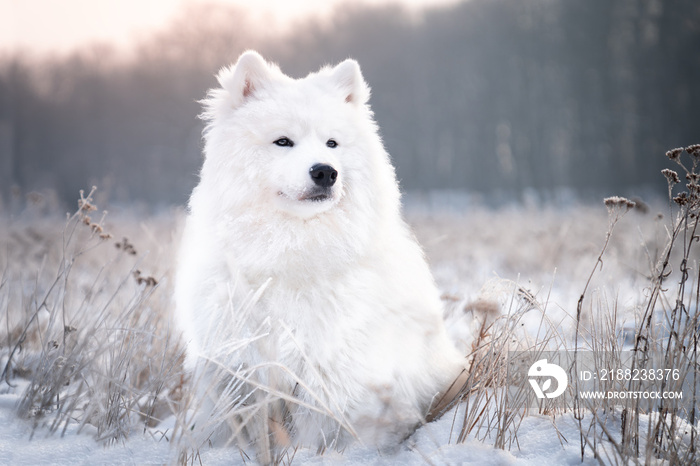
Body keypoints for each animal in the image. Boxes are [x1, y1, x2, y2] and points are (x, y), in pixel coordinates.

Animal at [175, 51, 468, 456]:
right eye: (283, 141)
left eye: (332, 143)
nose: (325, 172)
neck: (295, 249)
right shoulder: (241, 370)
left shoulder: (332, 377)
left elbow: (318, 436)